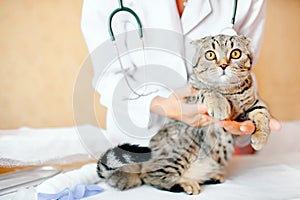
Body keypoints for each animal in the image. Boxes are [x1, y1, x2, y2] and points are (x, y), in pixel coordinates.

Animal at [97, 35, 270, 195]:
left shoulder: (252, 104)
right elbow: (206, 90)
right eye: (210, 55)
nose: (223, 65)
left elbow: (263, 113)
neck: (227, 91)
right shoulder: (190, 97)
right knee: (151, 175)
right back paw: (183, 183)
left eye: (235, 53)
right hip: (183, 149)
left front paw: (260, 138)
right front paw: (218, 103)